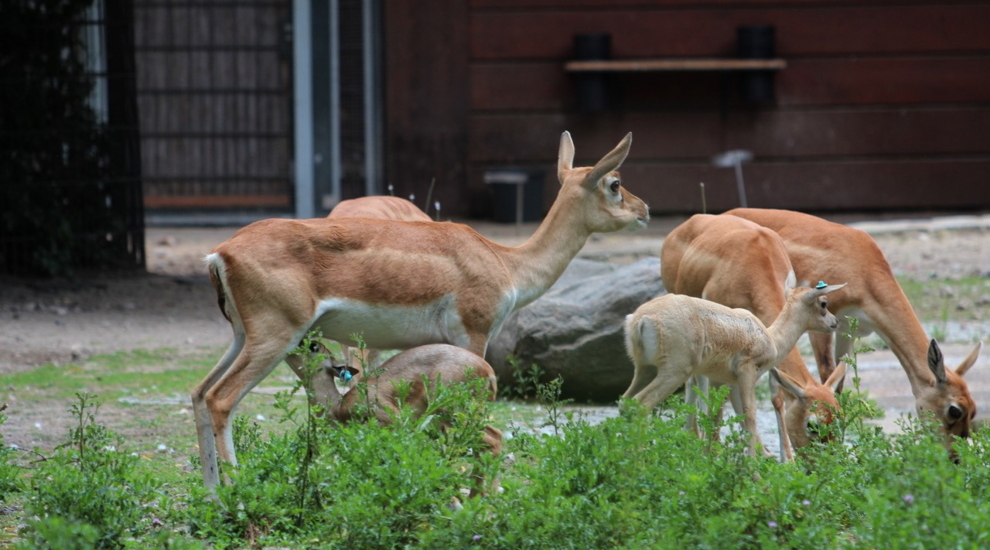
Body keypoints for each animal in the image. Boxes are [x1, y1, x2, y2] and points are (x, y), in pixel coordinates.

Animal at [196, 132, 652, 490]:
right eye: (615, 183)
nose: (645, 210)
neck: (506, 263)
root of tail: (221, 253)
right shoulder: (473, 335)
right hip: (277, 337)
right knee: (221, 399)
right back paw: (238, 498)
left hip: (243, 337)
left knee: (200, 393)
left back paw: (214, 496)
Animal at [620, 284, 844, 458]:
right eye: (823, 303)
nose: (835, 322)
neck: (770, 338)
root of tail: (641, 319)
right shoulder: (747, 374)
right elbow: (749, 418)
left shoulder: (725, 382)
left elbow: (716, 418)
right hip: (674, 372)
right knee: (641, 404)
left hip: (645, 370)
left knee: (625, 402)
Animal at [664, 216, 848, 462]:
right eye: (813, 424)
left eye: (840, 418)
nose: (826, 464)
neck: (754, 259)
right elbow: (718, 400)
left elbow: (775, 395)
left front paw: (785, 459)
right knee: (695, 381)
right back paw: (694, 437)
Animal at [728, 208, 984, 458]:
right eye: (954, 410)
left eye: (974, 410)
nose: (955, 457)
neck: (862, 268)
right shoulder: (822, 327)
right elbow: (825, 372)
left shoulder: (847, 330)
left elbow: (839, 383)